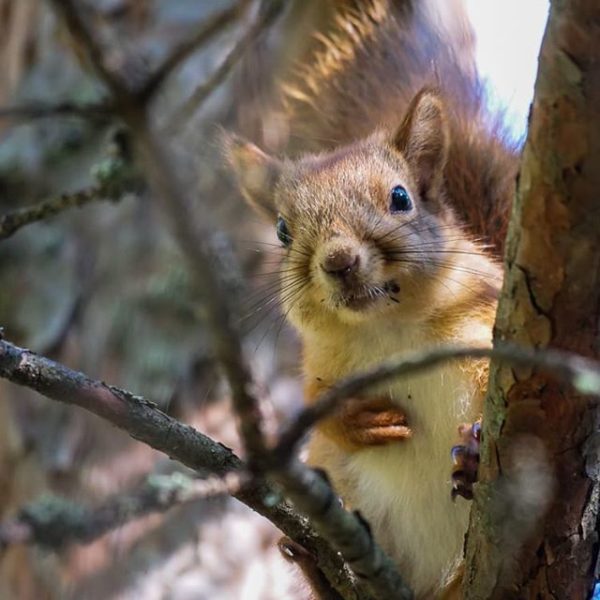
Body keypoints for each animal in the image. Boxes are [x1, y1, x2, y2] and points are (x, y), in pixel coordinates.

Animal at [226, 0, 520, 596]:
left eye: (400, 197)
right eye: (282, 231)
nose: (339, 261)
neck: (391, 329)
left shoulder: (490, 318)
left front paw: (478, 453)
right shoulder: (317, 365)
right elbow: (315, 407)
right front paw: (358, 421)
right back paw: (316, 568)